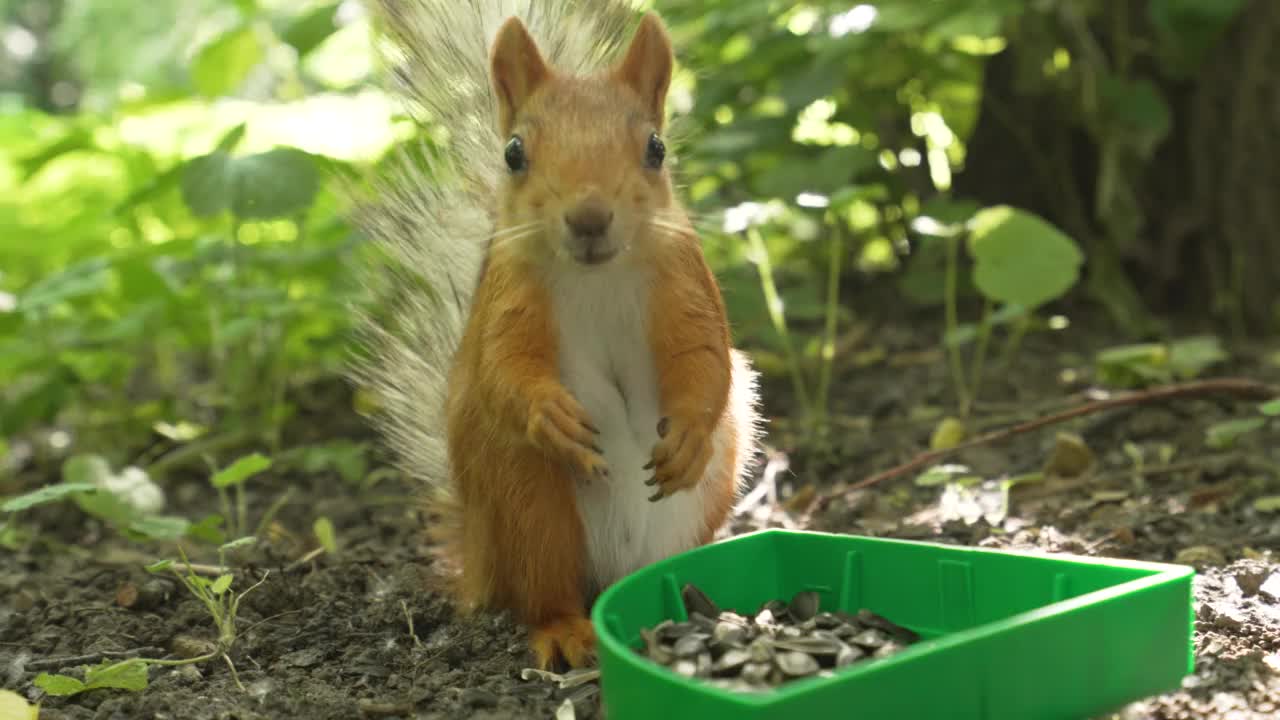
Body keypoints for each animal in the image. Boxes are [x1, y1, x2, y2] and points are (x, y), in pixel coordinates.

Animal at [350, 0, 757, 671]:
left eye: (656, 147)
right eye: (514, 153)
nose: (589, 218)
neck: (596, 275)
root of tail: (481, 562)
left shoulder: (686, 281)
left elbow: (703, 360)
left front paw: (688, 435)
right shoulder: (508, 295)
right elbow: (504, 367)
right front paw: (551, 414)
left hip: (702, 499)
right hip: (529, 505)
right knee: (544, 592)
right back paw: (566, 631)